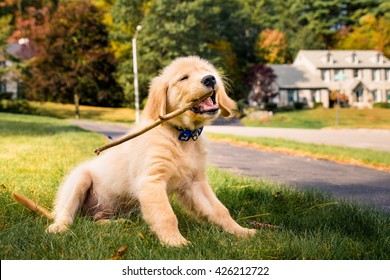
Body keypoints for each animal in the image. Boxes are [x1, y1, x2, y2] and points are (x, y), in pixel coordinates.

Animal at [45, 55, 256, 246]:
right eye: (183, 78)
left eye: (207, 70)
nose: (210, 79)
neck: (181, 136)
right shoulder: (151, 180)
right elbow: (166, 215)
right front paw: (176, 243)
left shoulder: (195, 182)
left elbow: (219, 210)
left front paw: (241, 231)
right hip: (79, 180)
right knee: (67, 213)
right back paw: (58, 227)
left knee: (92, 219)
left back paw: (115, 223)